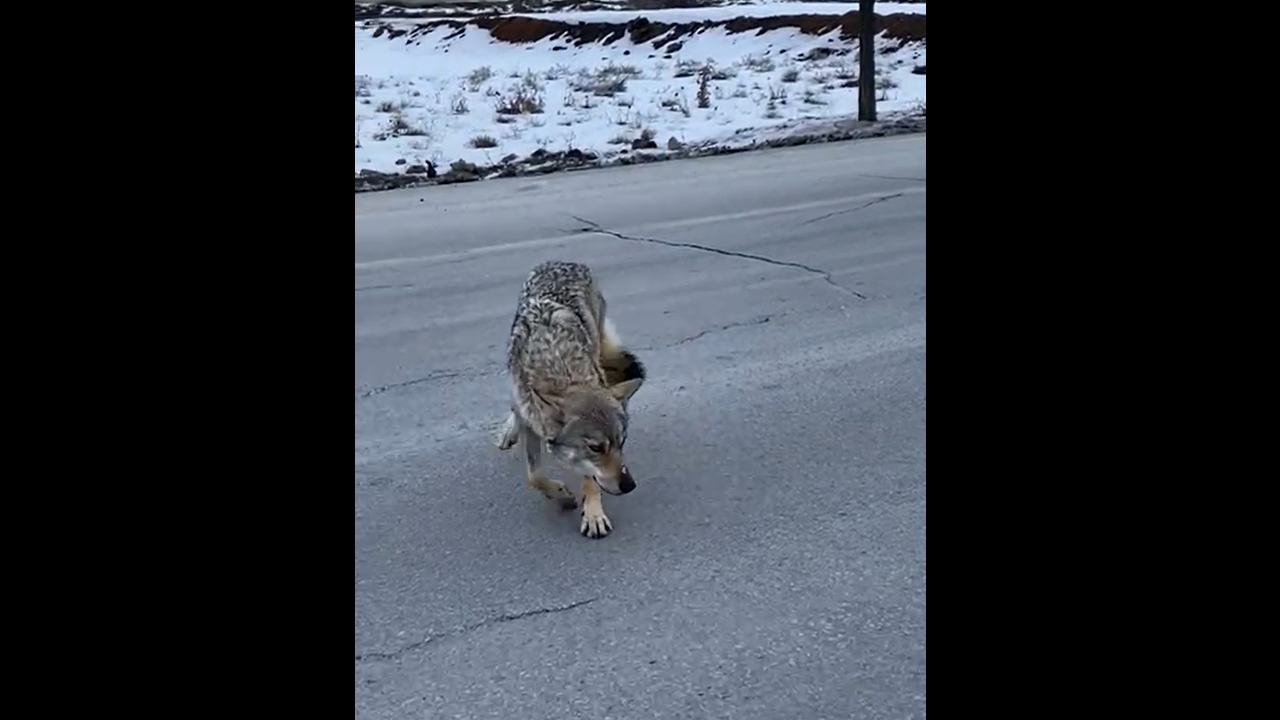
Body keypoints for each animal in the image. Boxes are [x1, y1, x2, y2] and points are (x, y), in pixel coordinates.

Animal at [494, 261, 647, 539]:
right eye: (596, 448)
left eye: (622, 442)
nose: (630, 485)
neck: (558, 366)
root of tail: (561, 262)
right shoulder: (530, 419)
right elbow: (534, 476)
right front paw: (561, 495)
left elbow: (589, 477)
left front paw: (593, 513)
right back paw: (509, 431)